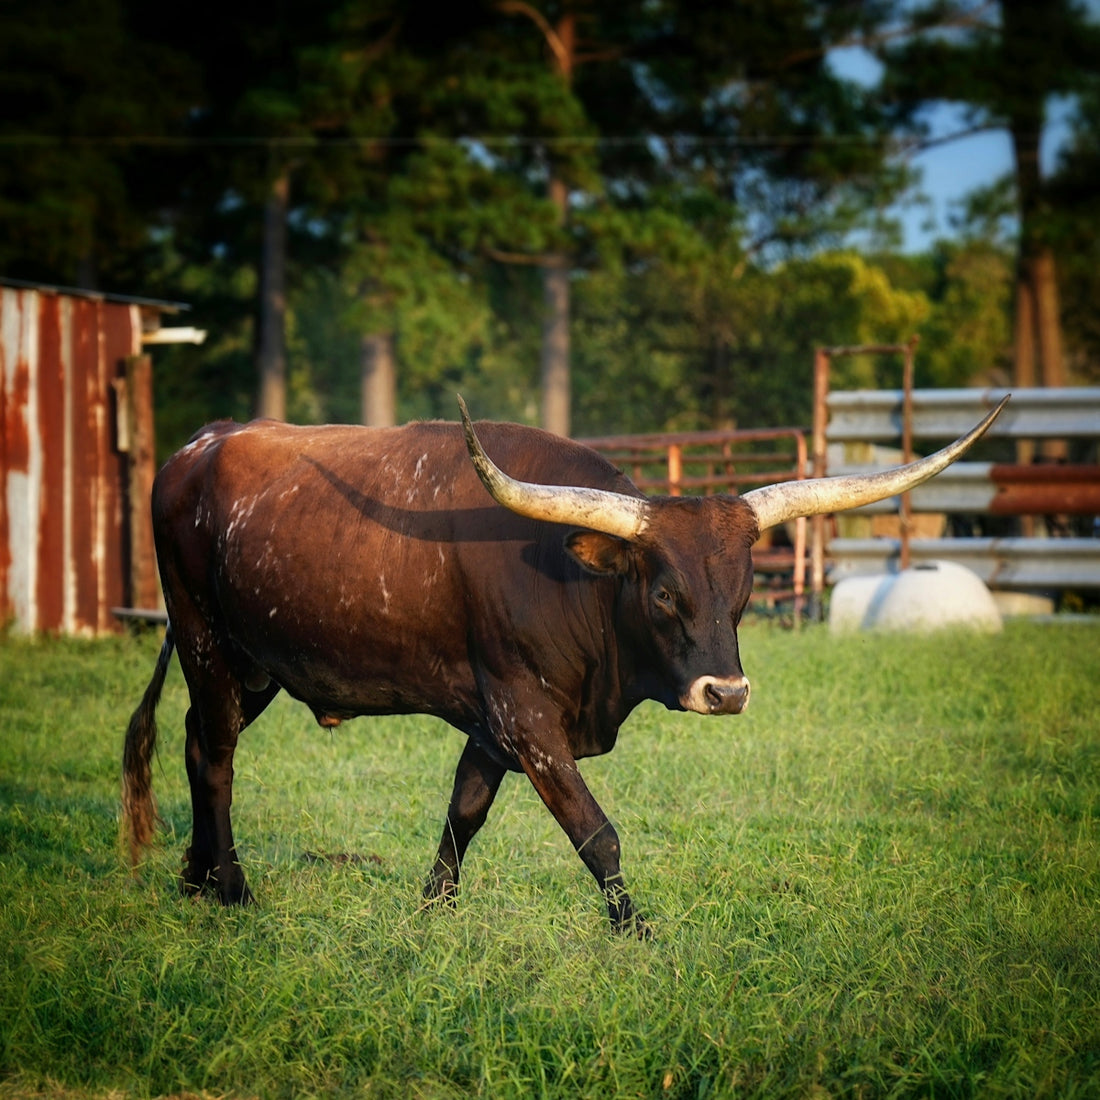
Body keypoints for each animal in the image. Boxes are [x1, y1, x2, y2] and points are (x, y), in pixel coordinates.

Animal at [122, 395, 1007, 935]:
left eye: (745, 588)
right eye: (663, 592)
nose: (726, 692)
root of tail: (196, 448)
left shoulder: (491, 723)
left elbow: (463, 814)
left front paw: (431, 914)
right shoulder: (525, 717)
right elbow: (596, 832)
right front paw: (638, 933)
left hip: (253, 664)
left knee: (198, 742)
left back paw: (196, 879)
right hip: (204, 639)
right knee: (217, 757)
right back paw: (235, 891)